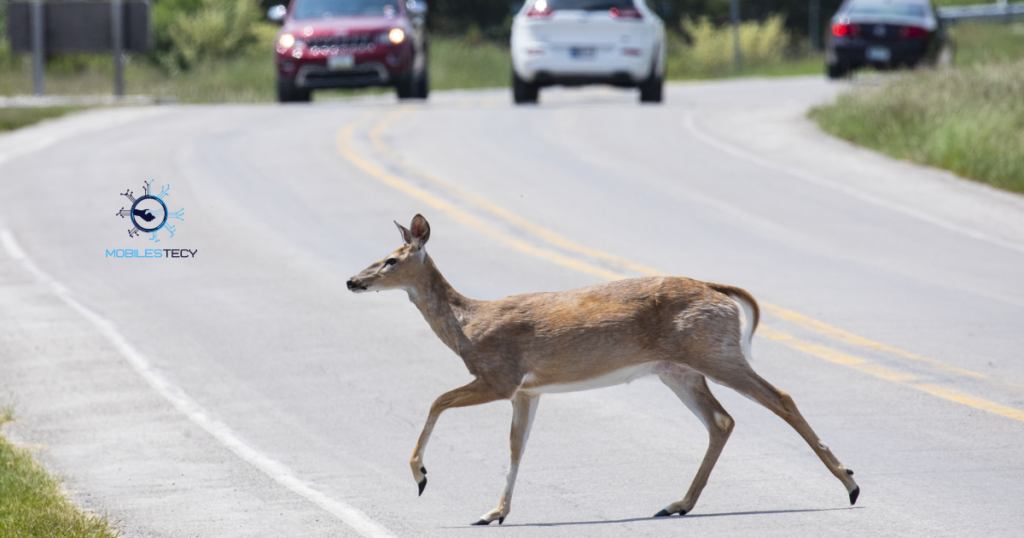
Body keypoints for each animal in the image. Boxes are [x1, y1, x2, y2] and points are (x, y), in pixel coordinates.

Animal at [346, 214, 859, 525]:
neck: (467, 323)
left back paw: (851, 484)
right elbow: (516, 447)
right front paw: (494, 512)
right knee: (722, 420)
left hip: (714, 351)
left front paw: (421, 476)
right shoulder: (527, 391)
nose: (353, 280)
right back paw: (677, 504)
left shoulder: (500, 376)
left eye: (390, 260)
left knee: (780, 398)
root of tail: (720, 292)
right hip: (678, 368)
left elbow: (437, 401)